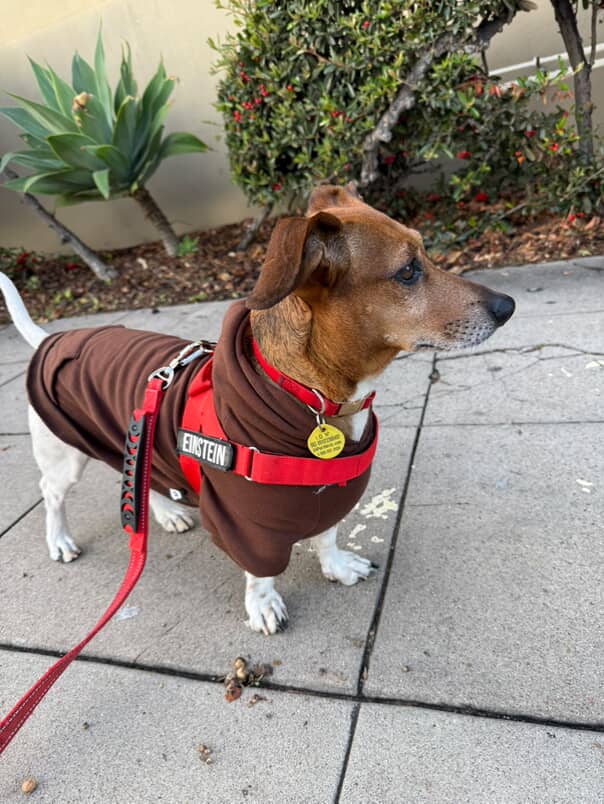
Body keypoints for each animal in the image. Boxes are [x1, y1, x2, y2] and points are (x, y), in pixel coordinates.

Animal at [0, 184, 514, 635]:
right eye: (407, 271)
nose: (507, 306)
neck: (313, 394)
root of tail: (51, 339)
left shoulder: (329, 491)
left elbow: (327, 535)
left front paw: (336, 565)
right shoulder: (245, 521)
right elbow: (262, 570)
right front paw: (263, 605)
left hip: (135, 434)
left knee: (135, 472)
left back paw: (164, 513)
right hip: (64, 454)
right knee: (52, 493)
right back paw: (60, 539)